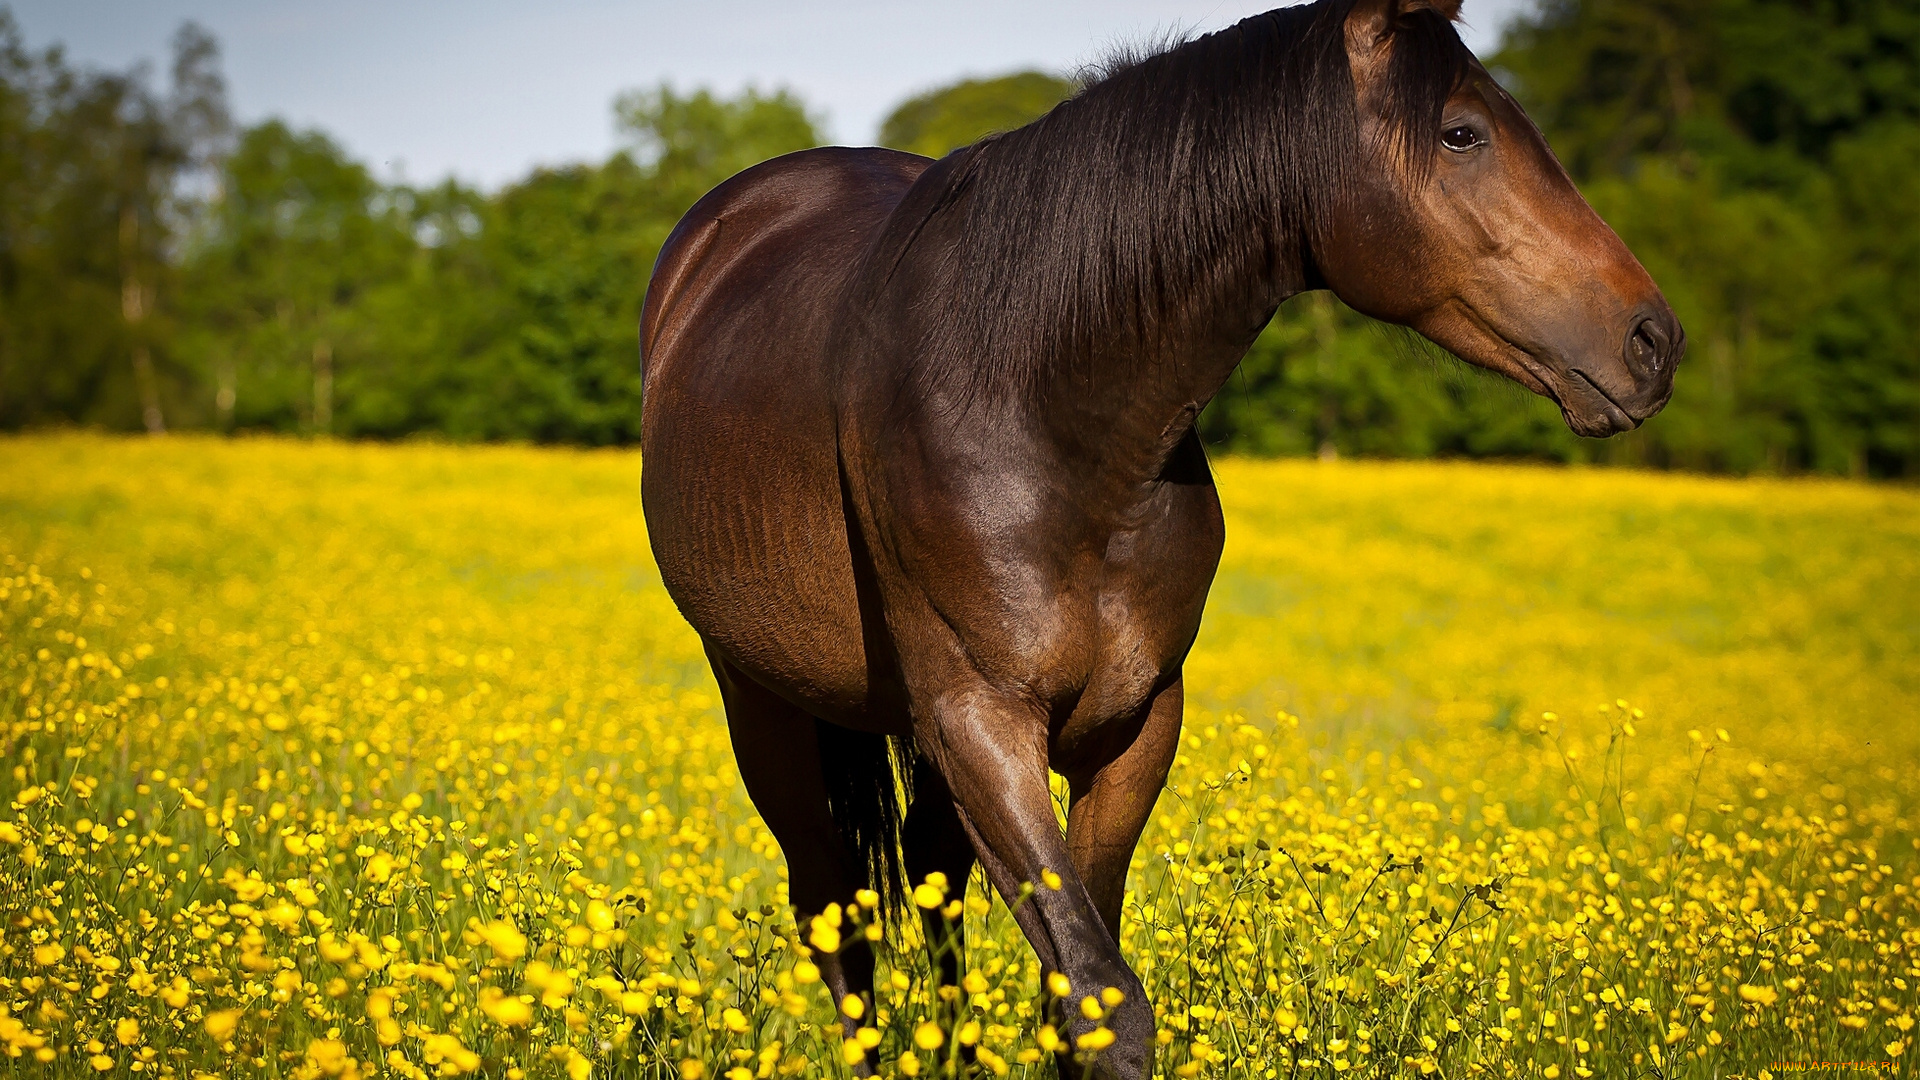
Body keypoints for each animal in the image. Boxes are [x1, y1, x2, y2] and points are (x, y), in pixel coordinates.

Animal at [637, 0, 1674, 1068]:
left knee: (930, 891)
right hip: (760, 697)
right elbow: (1102, 997)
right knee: (833, 906)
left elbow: (1073, 985)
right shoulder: (981, 721)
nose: (1653, 341)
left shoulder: (1135, 723)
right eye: (1461, 133)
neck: (1046, 413)